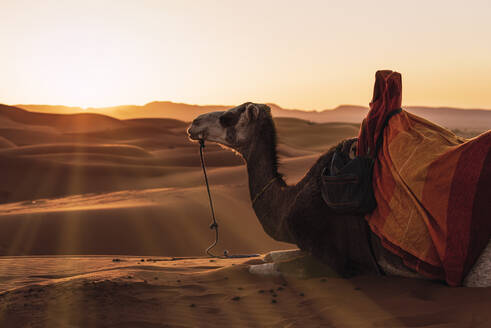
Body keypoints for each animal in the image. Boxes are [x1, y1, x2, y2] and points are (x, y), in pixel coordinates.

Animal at [187, 102, 491, 288]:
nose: (193, 123)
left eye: (228, 117)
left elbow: (261, 268)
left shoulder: (335, 259)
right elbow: (269, 255)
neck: (289, 202)